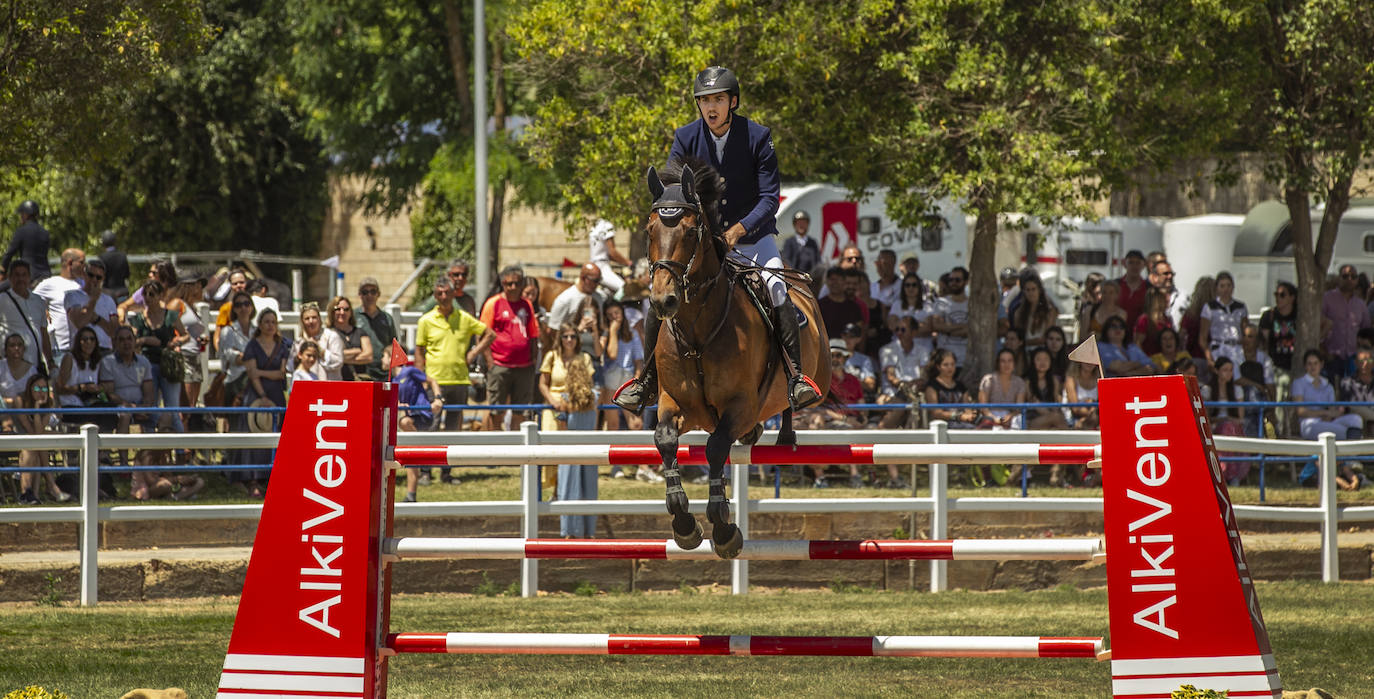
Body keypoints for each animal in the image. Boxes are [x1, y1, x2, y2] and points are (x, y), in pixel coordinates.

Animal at [643, 160, 824, 557]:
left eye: (690, 231)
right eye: (649, 230)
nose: (663, 301)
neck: (698, 330)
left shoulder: (740, 404)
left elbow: (715, 447)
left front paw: (724, 528)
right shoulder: (674, 401)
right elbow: (665, 439)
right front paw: (683, 523)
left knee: (789, 398)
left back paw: (789, 420)